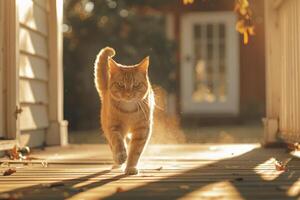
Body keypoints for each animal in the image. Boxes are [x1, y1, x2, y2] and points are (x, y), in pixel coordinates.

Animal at [94, 47, 155, 175]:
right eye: (120, 84)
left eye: (136, 84)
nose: (128, 94)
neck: (129, 112)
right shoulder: (113, 127)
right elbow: (117, 141)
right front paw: (121, 156)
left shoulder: (142, 130)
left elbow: (135, 151)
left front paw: (131, 167)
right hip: (107, 128)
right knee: (113, 146)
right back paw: (117, 163)